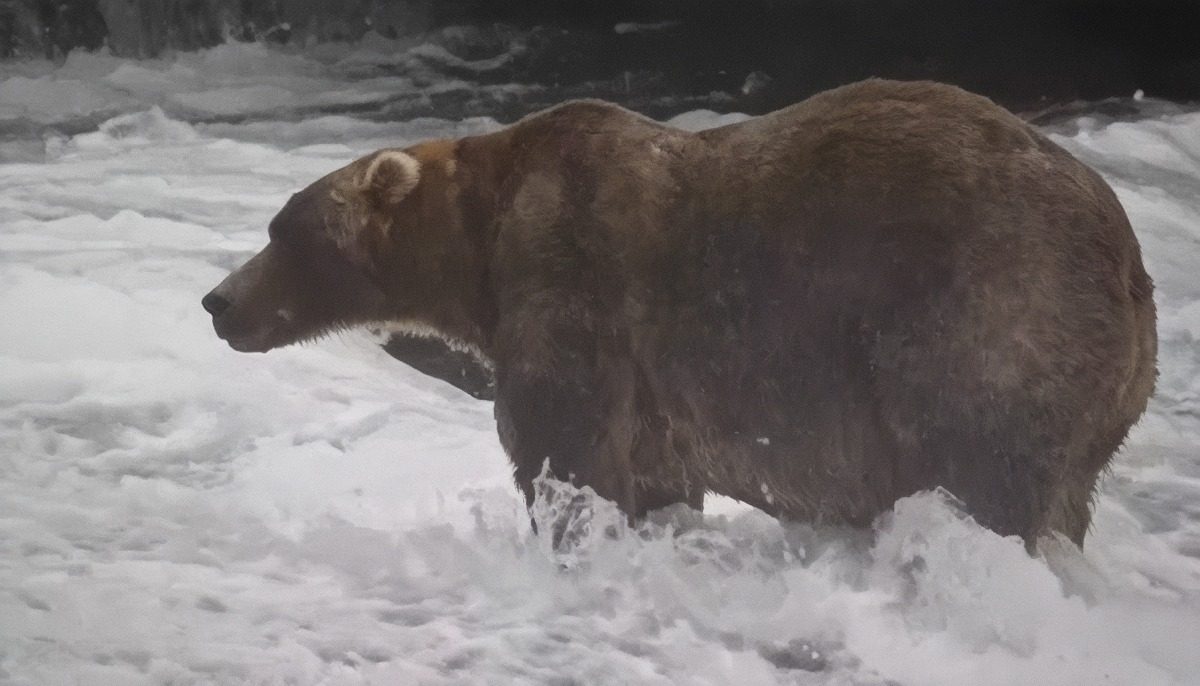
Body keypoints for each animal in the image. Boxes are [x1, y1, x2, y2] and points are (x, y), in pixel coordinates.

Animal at [202, 79, 1156, 548]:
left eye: (284, 231)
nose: (218, 301)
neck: (480, 245)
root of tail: (1131, 264)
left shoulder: (571, 283)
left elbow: (563, 446)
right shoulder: (653, 389)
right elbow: (653, 472)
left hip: (986, 316)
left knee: (979, 464)